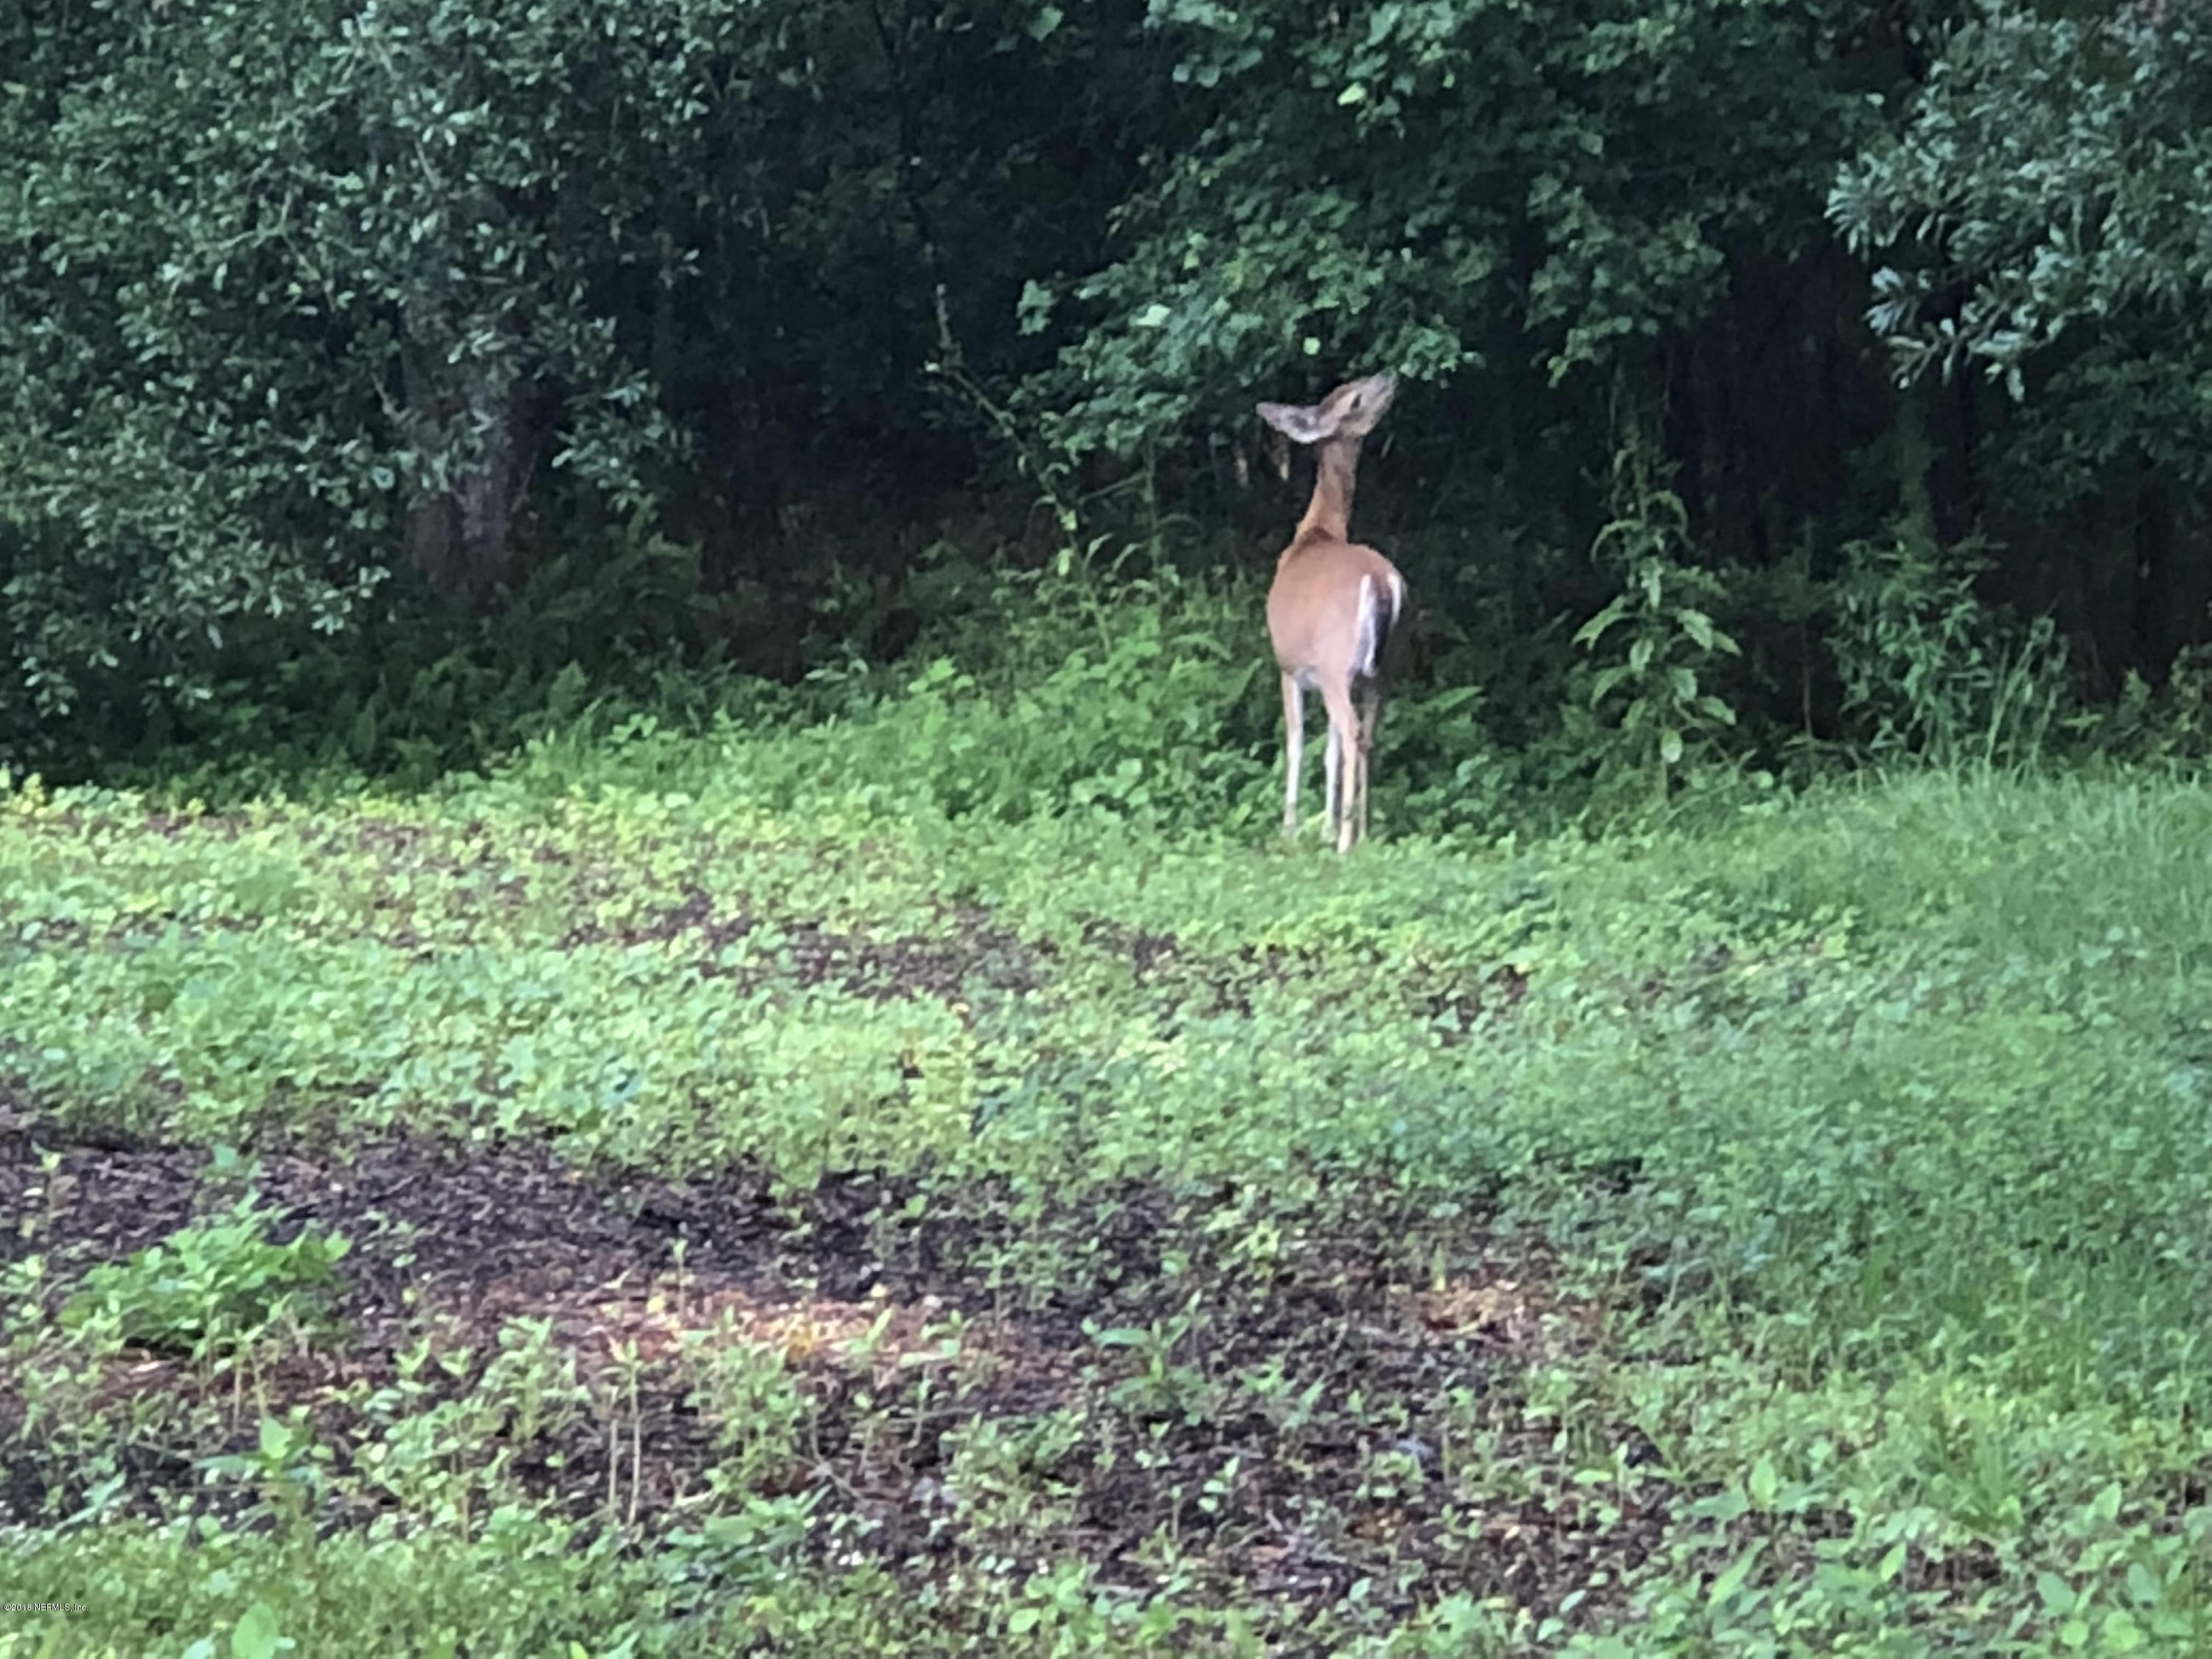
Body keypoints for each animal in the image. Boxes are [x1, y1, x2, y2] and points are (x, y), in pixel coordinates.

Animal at [1256, 371, 1406, 853]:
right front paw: (1323, 825)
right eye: (1353, 395)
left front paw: (1290, 828)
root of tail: (1380, 580)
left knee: (1353, 730)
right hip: (1383, 669)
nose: (1388, 375)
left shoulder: (1290, 666)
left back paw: (1345, 842)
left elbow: (1298, 742)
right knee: (1369, 735)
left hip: (1339, 664)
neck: (1315, 532)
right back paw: (1363, 832)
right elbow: (1330, 750)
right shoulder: (1326, 675)